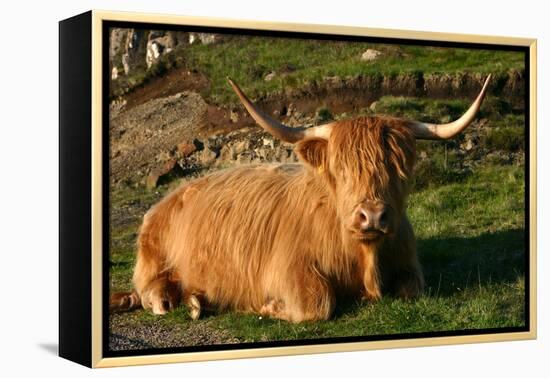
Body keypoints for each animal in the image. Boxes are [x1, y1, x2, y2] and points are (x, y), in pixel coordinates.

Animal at [110, 75, 494, 324]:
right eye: (341, 169)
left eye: (398, 167)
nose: (372, 216)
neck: (363, 258)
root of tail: (167, 199)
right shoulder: (288, 270)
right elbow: (317, 304)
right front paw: (267, 307)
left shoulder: (409, 263)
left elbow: (411, 289)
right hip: (153, 259)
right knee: (153, 294)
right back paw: (182, 301)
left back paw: (197, 300)